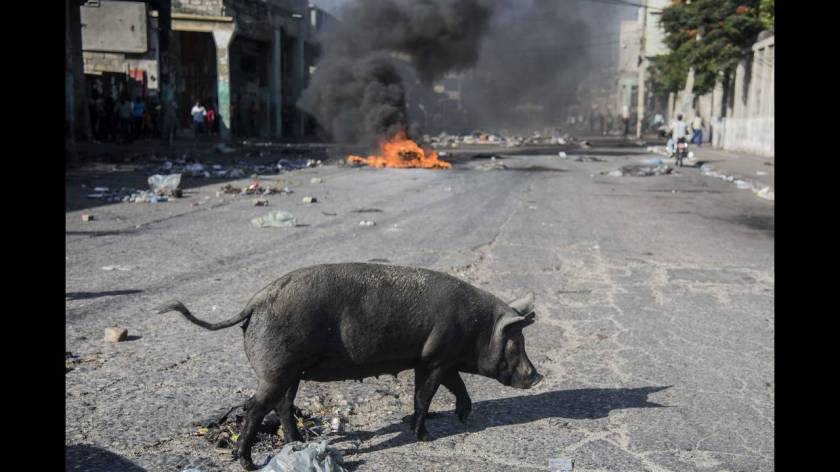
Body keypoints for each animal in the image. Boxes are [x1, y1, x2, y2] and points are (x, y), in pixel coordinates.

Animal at [160, 264, 540, 470]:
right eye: (517, 342)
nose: (537, 376)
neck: (478, 327)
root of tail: (252, 303)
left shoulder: (436, 359)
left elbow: (455, 386)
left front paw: (462, 417)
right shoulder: (434, 357)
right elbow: (424, 397)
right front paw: (425, 437)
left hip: (291, 371)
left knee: (283, 405)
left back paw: (298, 444)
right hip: (276, 368)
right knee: (254, 407)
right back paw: (249, 463)